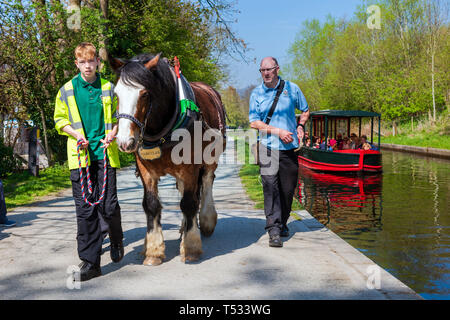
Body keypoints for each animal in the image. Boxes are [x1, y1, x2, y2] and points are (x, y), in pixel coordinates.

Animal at [108, 53, 227, 264]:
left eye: (144, 94)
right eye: (117, 94)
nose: (124, 141)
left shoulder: (190, 167)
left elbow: (189, 203)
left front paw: (190, 248)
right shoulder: (146, 170)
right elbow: (151, 205)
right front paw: (153, 250)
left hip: (209, 159)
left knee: (206, 182)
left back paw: (206, 221)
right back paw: (184, 227)